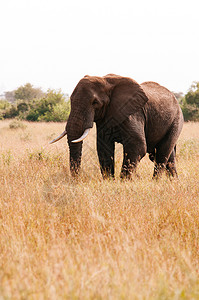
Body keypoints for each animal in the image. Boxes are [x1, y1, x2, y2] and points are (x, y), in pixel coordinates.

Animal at [49, 74, 183, 179]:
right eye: (70, 99)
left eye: (95, 103)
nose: (77, 180)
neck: (106, 81)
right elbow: (103, 148)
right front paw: (109, 182)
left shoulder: (134, 113)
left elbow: (137, 145)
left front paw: (124, 183)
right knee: (166, 157)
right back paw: (173, 182)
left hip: (176, 121)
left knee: (161, 153)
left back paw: (155, 182)